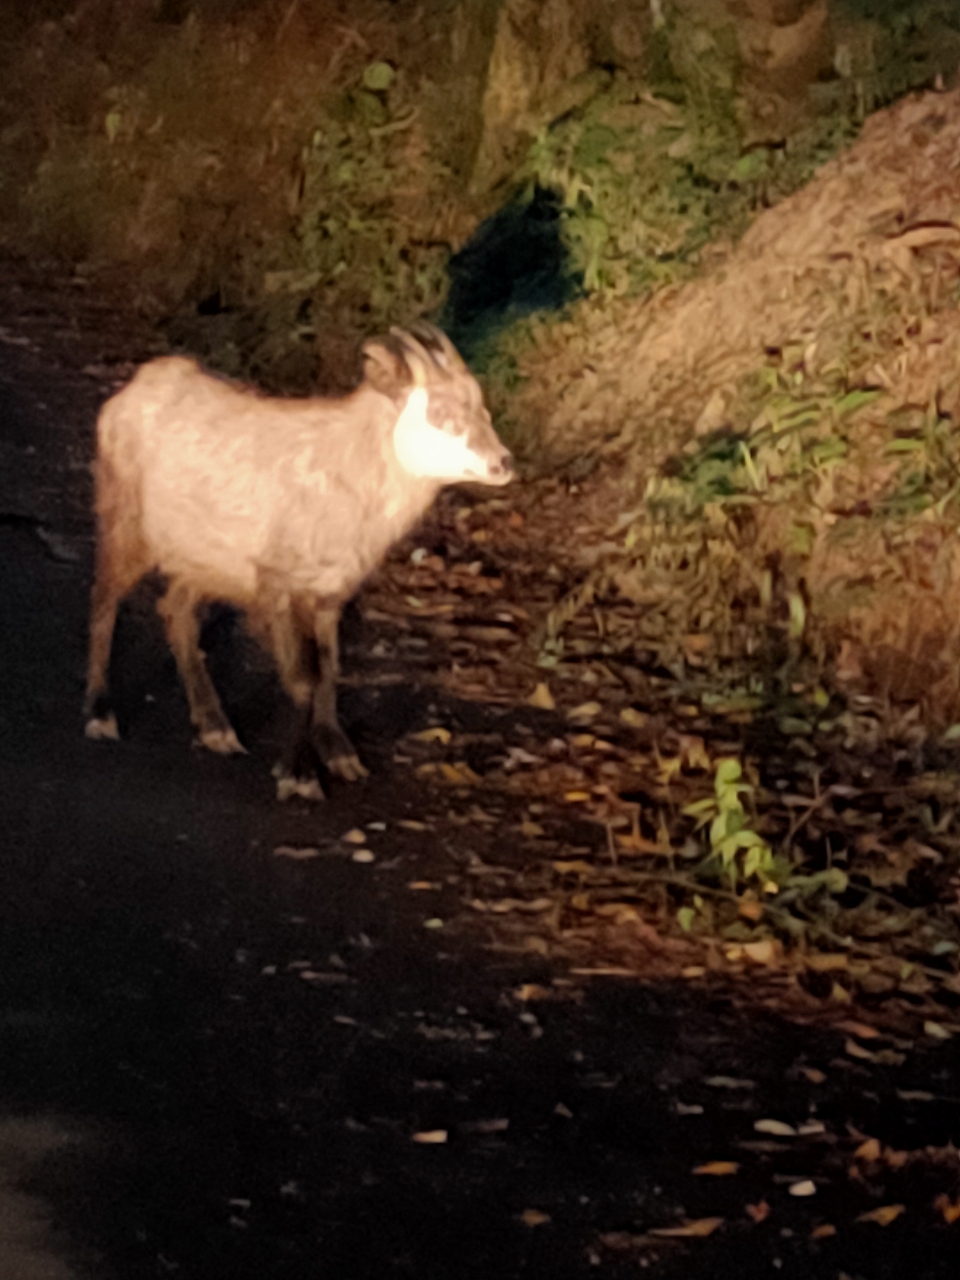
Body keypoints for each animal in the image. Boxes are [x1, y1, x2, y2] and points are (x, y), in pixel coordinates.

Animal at [86, 320, 514, 793]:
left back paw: (215, 726)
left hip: (205, 558)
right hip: (125, 520)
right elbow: (301, 681)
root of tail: (133, 390)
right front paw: (298, 774)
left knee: (176, 610)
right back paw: (100, 713)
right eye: (439, 410)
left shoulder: (329, 593)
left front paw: (339, 752)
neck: (348, 471)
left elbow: (328, 670)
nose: (502, 463)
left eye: (482, 408)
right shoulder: (277, 584)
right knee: (104, 600)